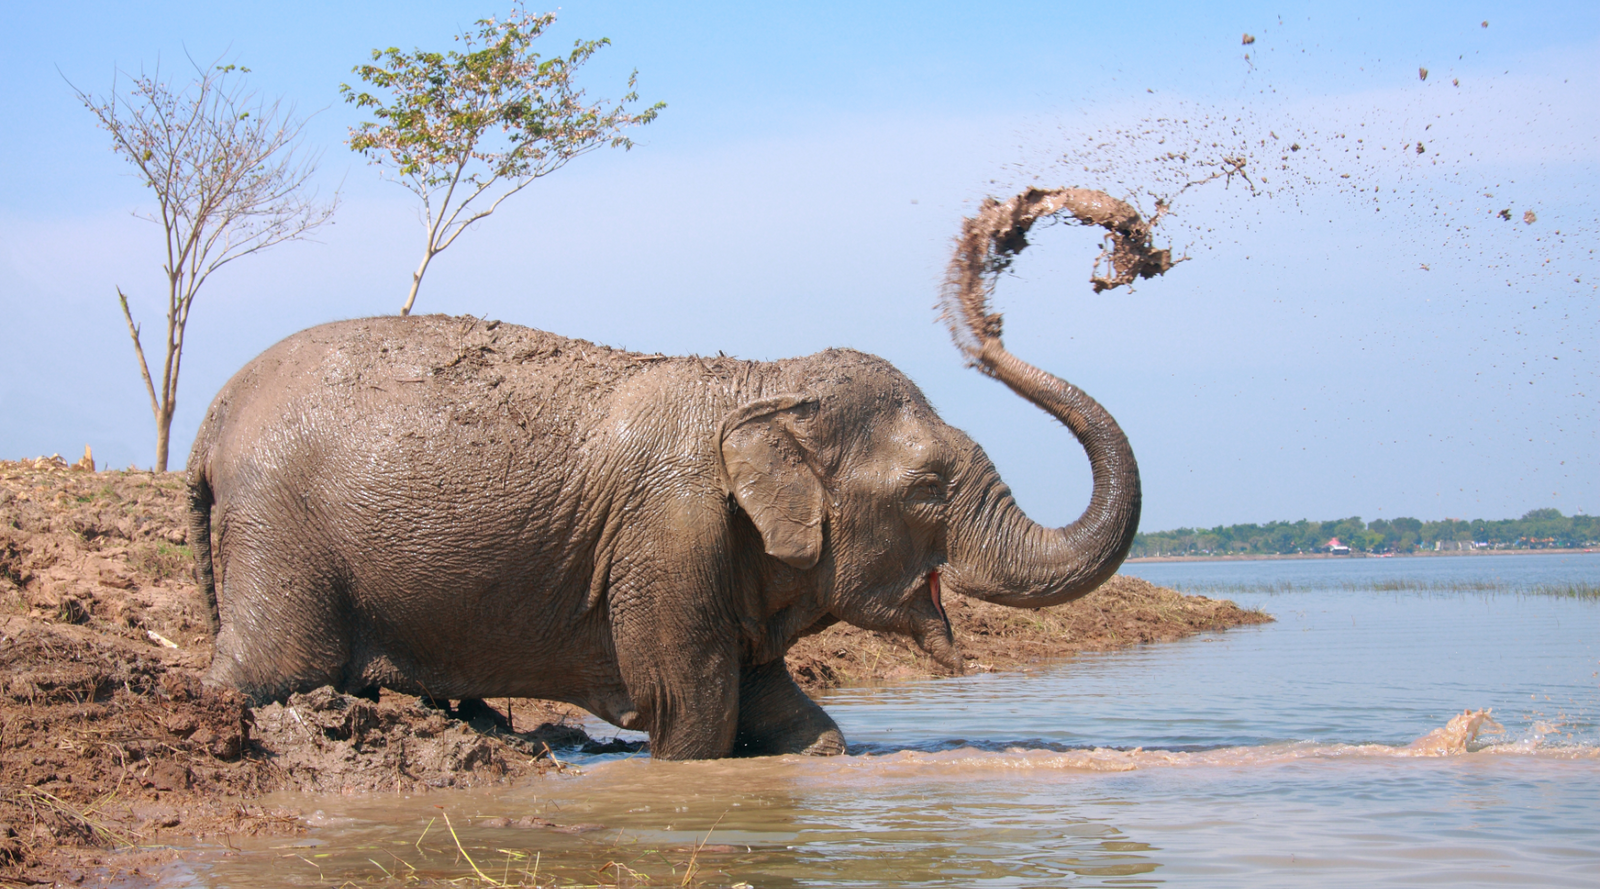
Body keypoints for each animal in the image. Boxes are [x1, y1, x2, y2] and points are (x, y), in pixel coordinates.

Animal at [188, 314, 1140, 760]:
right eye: (926, 490)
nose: (985, 333)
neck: (762, 382)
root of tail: (211, 418)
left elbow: (785, 714)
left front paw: (812, 752)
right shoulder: (669, 530)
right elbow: (692, 710)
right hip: (279, 528)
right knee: (272, 668)